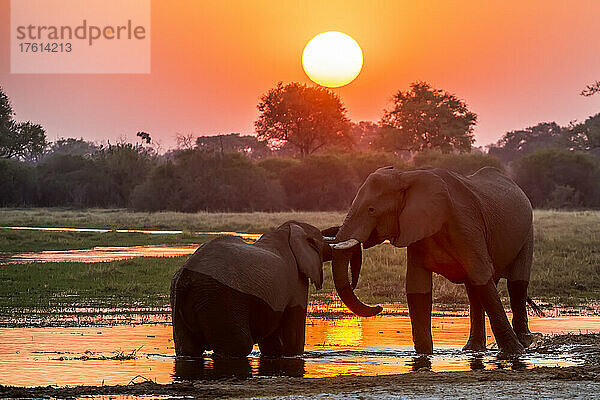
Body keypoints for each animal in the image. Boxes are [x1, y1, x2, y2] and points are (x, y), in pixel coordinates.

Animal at [170, 220, 338, 358]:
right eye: (319, 239)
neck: (288, 231)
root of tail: (183, 278)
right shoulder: (296, 281)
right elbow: (292, 338)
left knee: (187, 348)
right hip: (219, 299)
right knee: (238, 345)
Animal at [330, 167, 536, 354]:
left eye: (371, 210)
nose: (379, 307)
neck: (406, 176)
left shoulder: (466, 226)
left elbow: (482, 274)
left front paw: (515, 352)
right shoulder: (417, 230)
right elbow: (417, 288)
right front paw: (424, 355)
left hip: (528, 232)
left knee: (515, 284)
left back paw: (525, 343)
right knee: (475, 289)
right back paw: (473, 349)